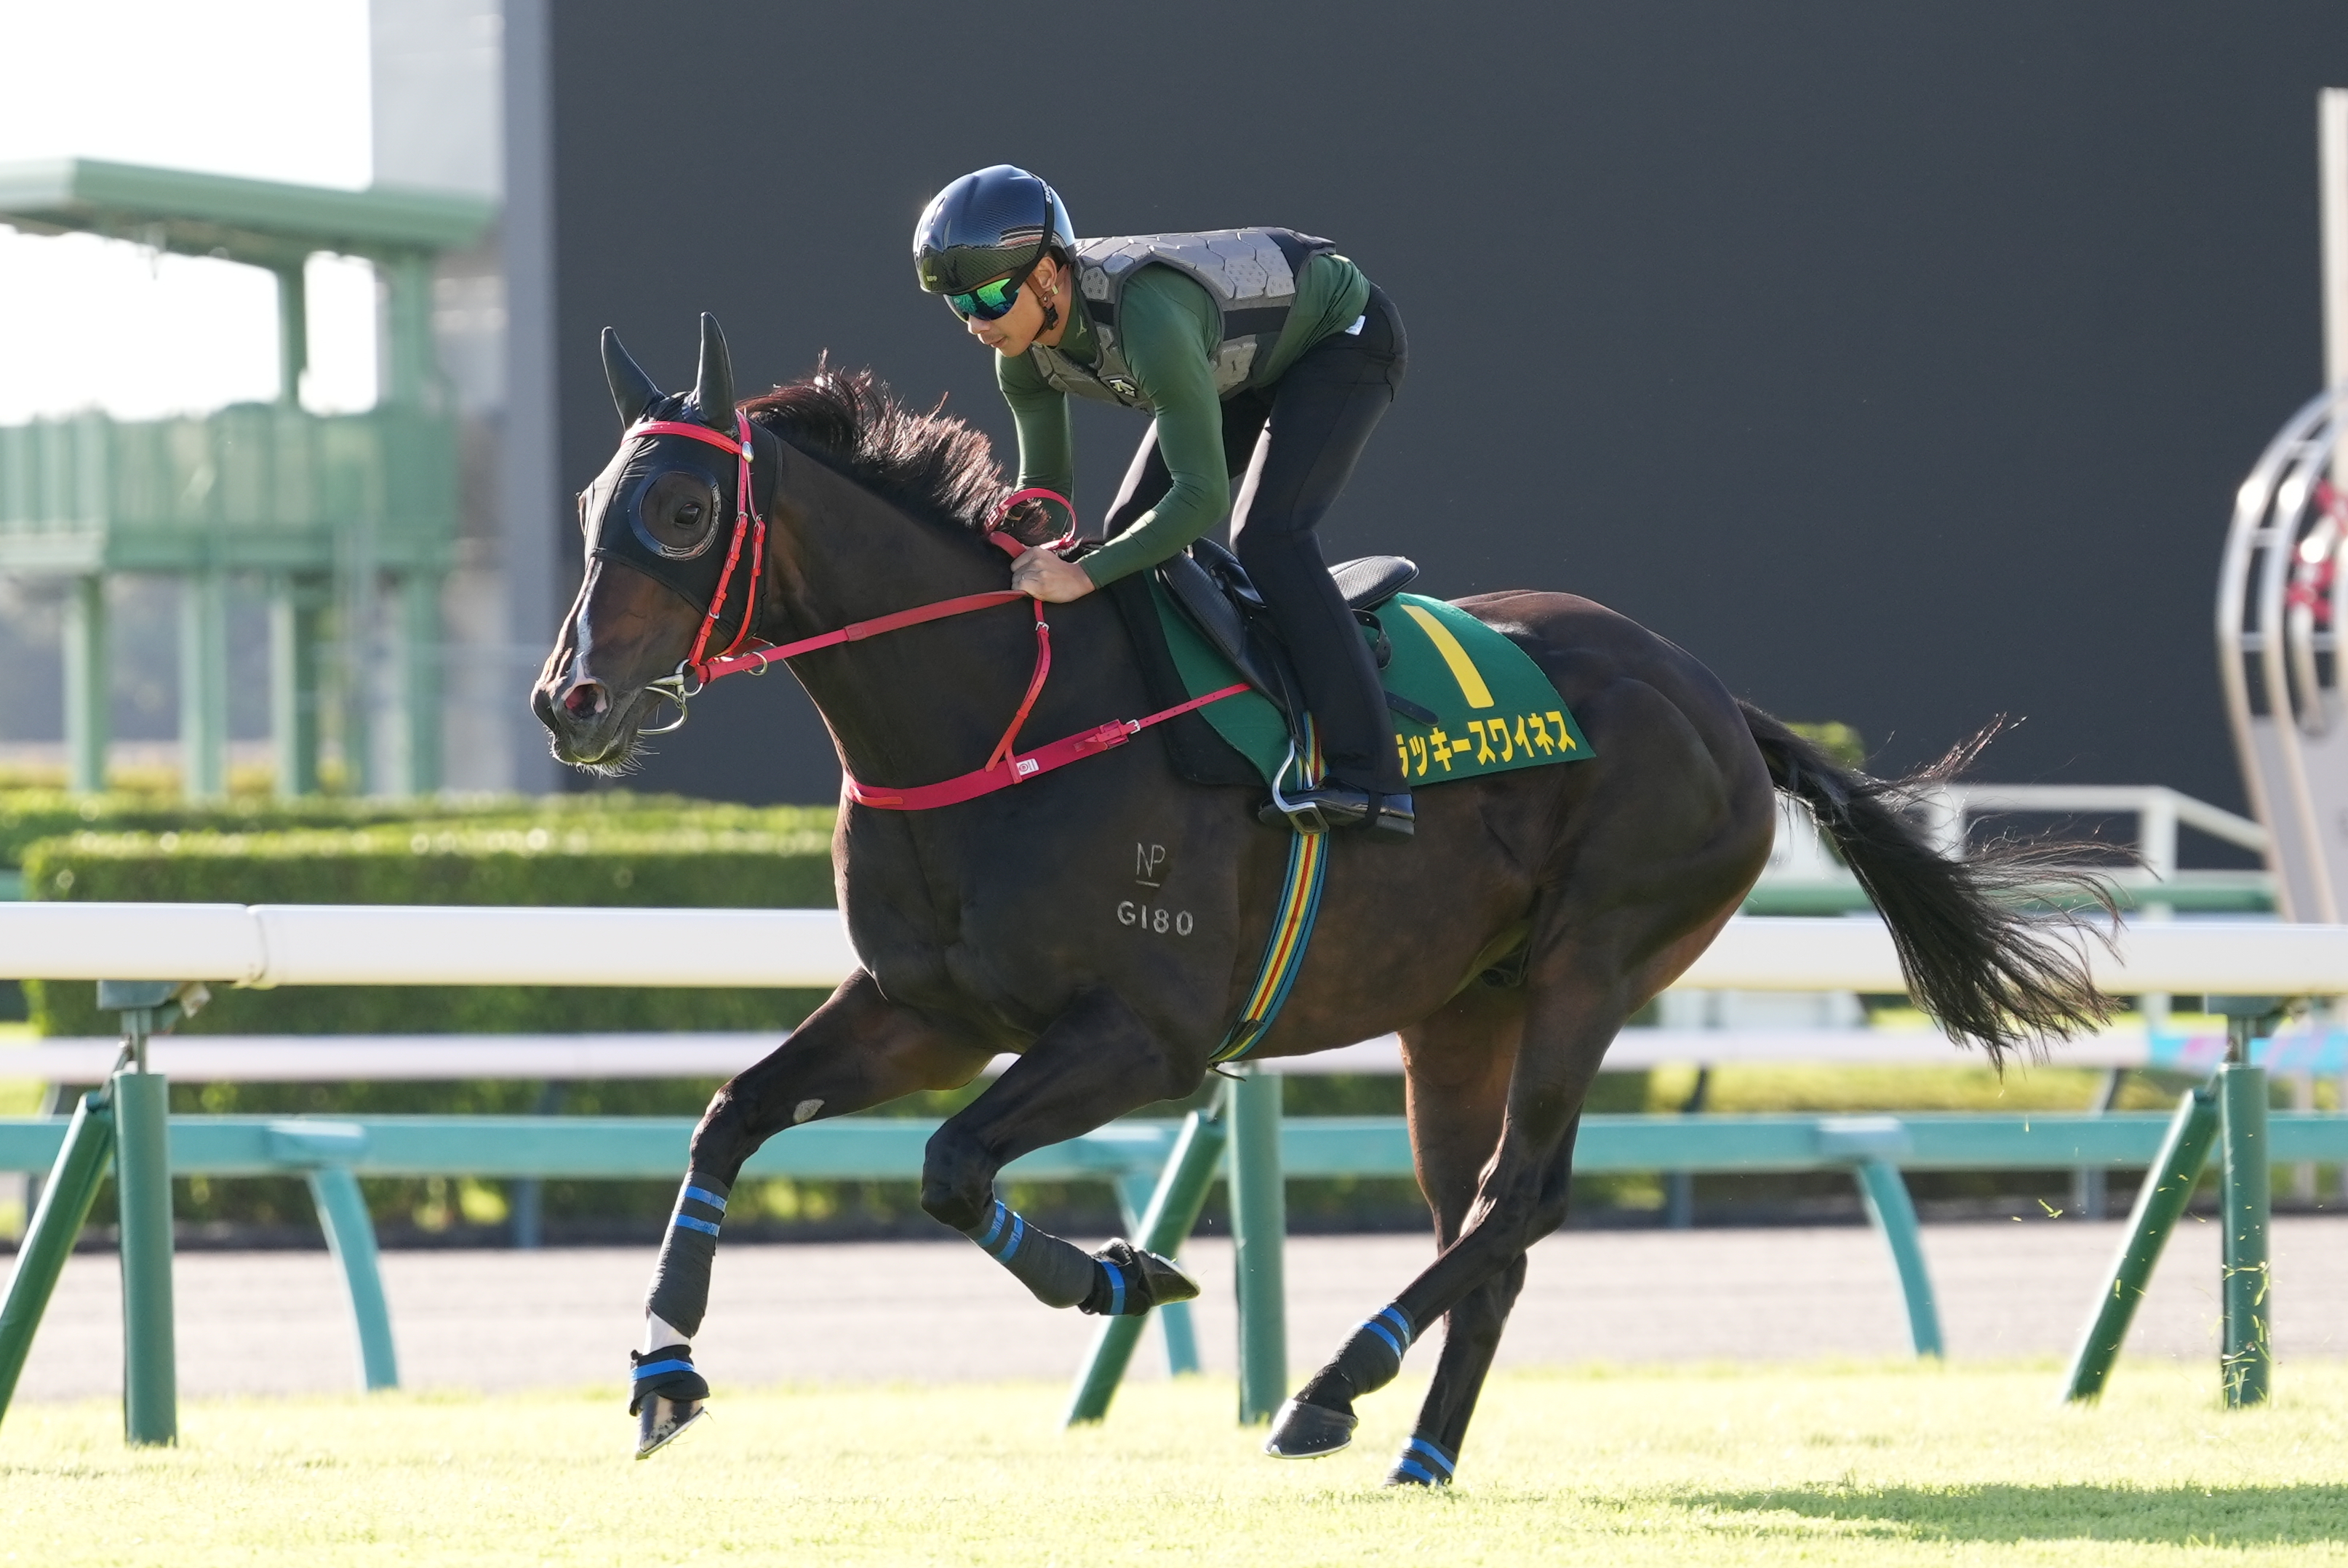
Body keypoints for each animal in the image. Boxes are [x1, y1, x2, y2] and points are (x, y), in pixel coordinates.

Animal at [533, 314, 2108, 1479]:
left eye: (685, 508)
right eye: (591, 503)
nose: (571, 704)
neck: (1002, 716)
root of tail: (1718, 699)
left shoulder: (1146, 1037)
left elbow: (951, 1166)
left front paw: (1126, 1279)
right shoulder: (926, 1010)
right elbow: (733, 1113)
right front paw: (664, 1365)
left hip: (1593, 962)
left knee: (1522, 1196)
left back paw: (1340, 1378)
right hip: (1458, 1013)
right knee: (1478, 1217)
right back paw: (1415, 1445)